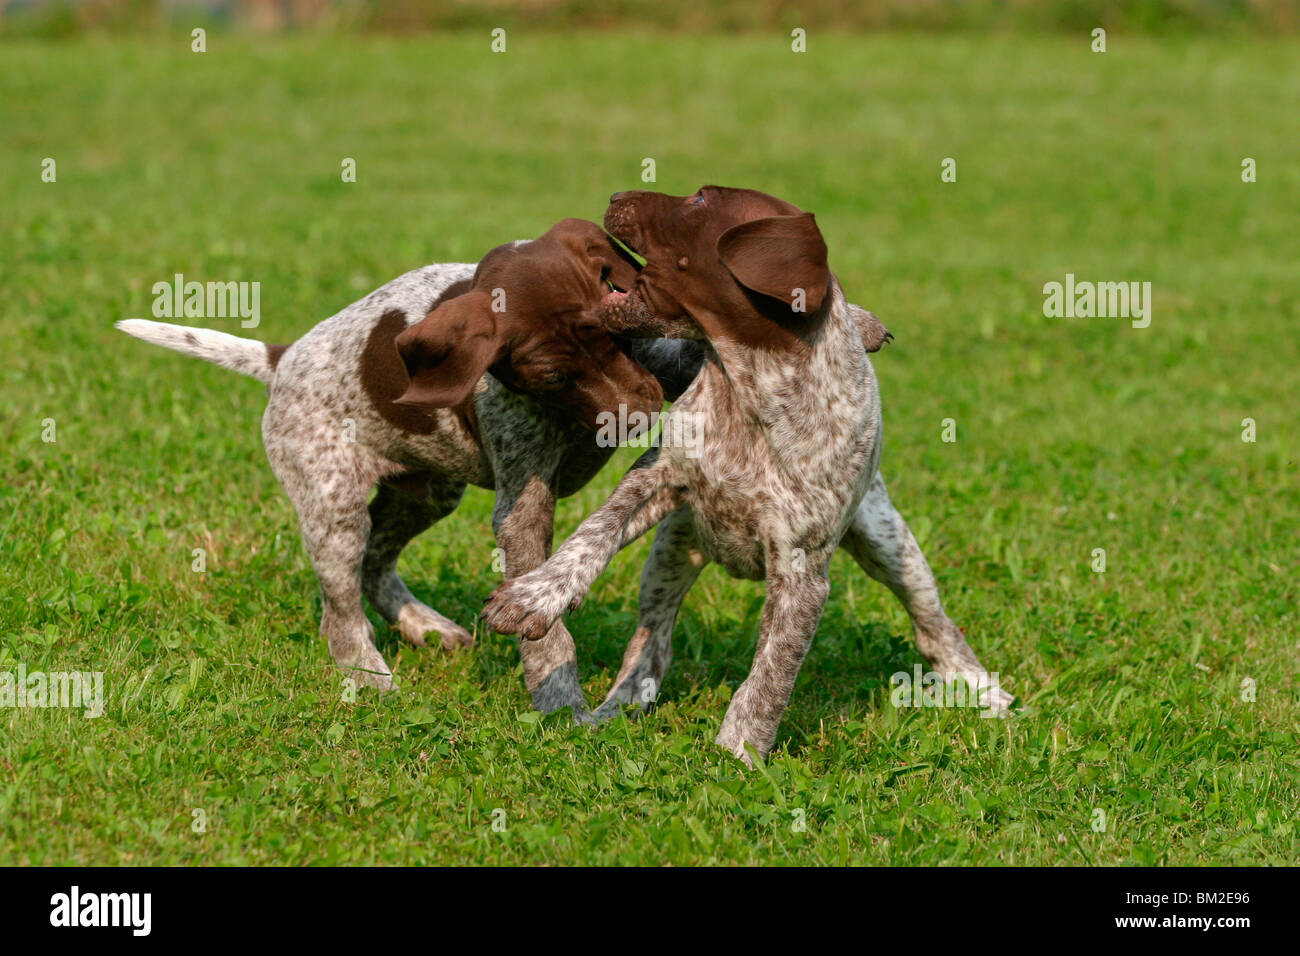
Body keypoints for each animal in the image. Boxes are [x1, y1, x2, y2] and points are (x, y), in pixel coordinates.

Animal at [483, 187, 1008, 764]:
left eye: (699, 199)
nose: (617, 195)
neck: (750, 385)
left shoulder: (802, 575)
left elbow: (770, 676)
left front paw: (735, 756)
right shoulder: (655, 478)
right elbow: (590, 535)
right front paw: (537, 594)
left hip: (889, 545)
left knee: (934, 625)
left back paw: (985, 692)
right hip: (671, 552)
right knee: (653, 641)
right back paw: (617, 707)